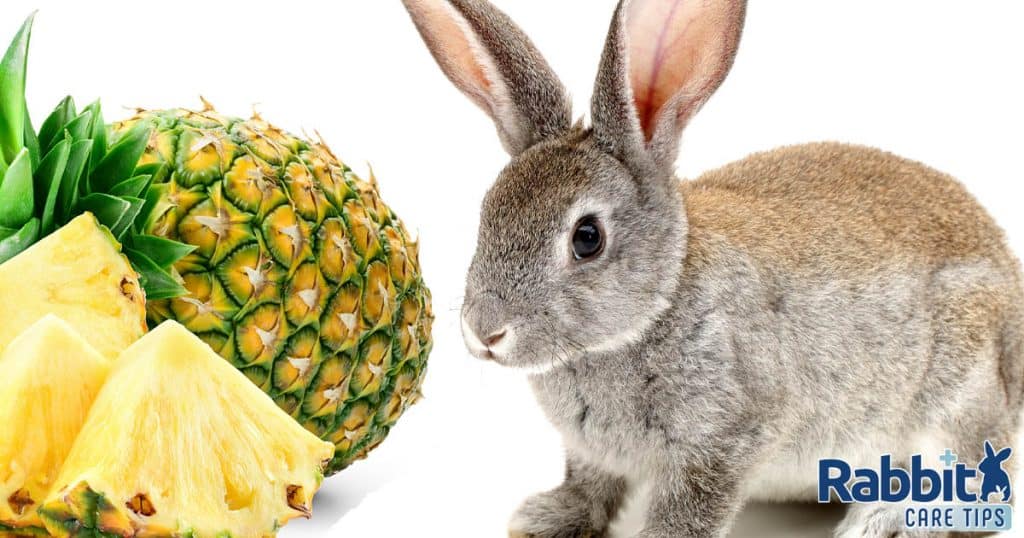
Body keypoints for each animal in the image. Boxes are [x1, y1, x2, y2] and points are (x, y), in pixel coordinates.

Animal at [401, 0, 1024, 536]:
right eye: (487, 212)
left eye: (587, 238)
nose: (484, 332)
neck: (659, 303)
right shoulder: (592, 454)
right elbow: (590, 485)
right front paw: (544, 518)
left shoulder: (726, 438)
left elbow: (691, 508)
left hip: (957, 392)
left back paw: (885, 521)